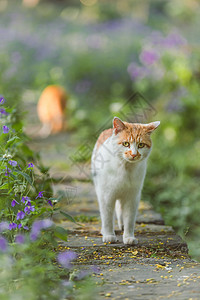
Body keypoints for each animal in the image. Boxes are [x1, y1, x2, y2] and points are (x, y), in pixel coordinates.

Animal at [91, 116, 160, 245]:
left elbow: (129, 219)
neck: (125, 169)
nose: (134, 154)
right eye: (126, 143)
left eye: (141, 145)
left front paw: (128, 237)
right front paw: (109, 235)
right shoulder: (106, 196)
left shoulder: (132, 197)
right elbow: (107, 217)